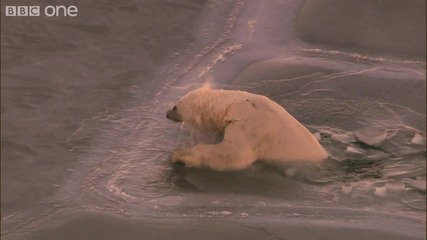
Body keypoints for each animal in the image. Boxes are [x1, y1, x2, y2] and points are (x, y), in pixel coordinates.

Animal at [166, 84, 328, 171]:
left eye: (175, 107)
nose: (167, 113)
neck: (231, 103)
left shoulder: (247, 123)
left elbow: (234, 153)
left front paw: (179, 154)